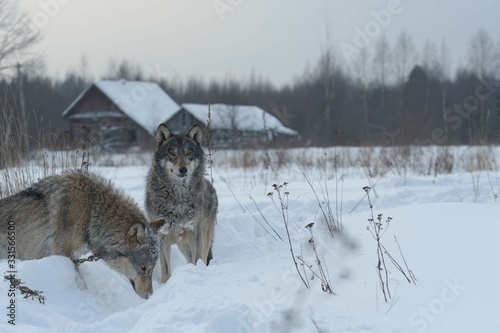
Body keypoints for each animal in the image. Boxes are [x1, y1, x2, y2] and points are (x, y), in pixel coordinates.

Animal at [0, 171, 164, 298]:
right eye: (143, 268)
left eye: (152, 268)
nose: (149, 296)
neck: (90, 212)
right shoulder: (62, 254)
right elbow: (81, 283)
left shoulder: (74, 257)